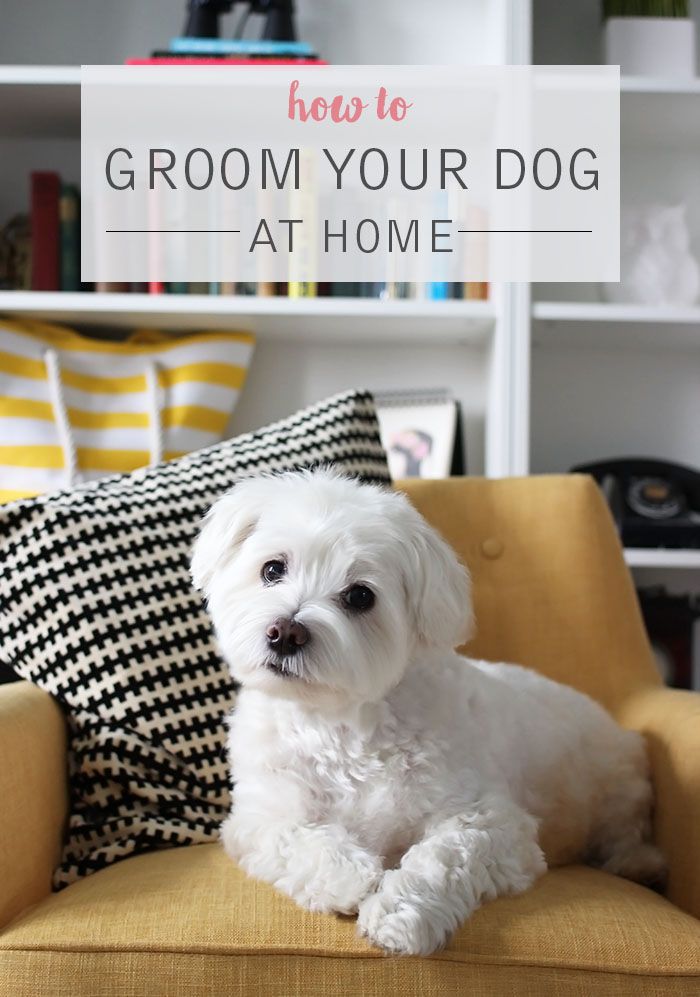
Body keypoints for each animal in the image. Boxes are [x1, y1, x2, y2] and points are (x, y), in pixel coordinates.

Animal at [190, 470, 660, 952]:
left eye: (360, 596)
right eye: (272, 569)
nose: (286, 632)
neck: (341, 724)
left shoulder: (493, 823)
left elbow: (443, 858)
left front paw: (399, 916)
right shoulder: (256, 819)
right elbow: (296, 837)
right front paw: (350, 877)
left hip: (617, 787)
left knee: (626, 828)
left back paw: (636, 863)